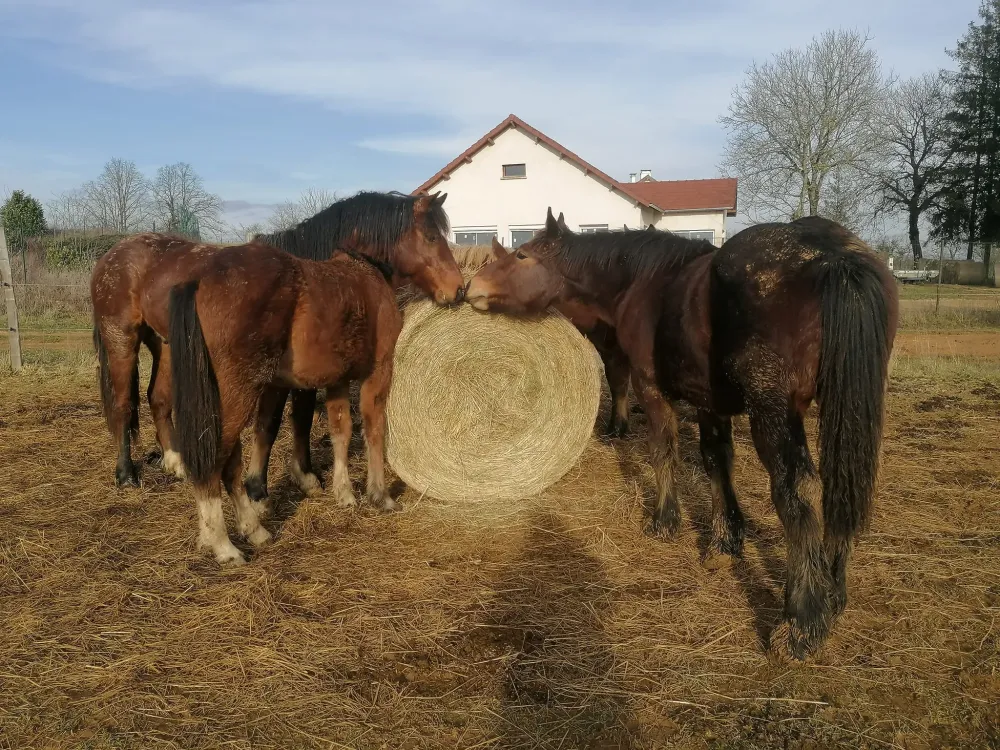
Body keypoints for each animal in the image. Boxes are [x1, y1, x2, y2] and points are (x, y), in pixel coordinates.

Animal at [90, 191, 463, 492]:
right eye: (431, 236)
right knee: (123, 403)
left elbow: (301, 418)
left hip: (165, 345)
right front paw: (291, 479)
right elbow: (276, 422)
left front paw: (304, 474)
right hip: (121, 338)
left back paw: (176, 462)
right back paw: (126, 474)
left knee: (158, 398)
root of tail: (112, 254)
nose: (458, 289)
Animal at [149, 246, 402, 565]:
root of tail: (196, 282)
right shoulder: (378, 372)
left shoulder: (337, 380)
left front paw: (344, 493)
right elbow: (374, 429)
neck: (366, 274)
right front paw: (379, 495)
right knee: (215, 460)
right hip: (236, 398)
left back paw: (247, 531)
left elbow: (340, 430)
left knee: (230, 463)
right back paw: (223, 545)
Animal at [465, 209, 898, 659]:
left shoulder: (651, 389)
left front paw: (665, 520)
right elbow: (716, 461)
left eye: (521, 255)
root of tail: (834, 254)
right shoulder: (709, 402)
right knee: (843, 484)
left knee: (798, 492)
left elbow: (663, 452)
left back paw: (802, 623)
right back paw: (833, 592)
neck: (642, 280)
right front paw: (725, 541)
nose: (470, 288)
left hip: (774, 411)